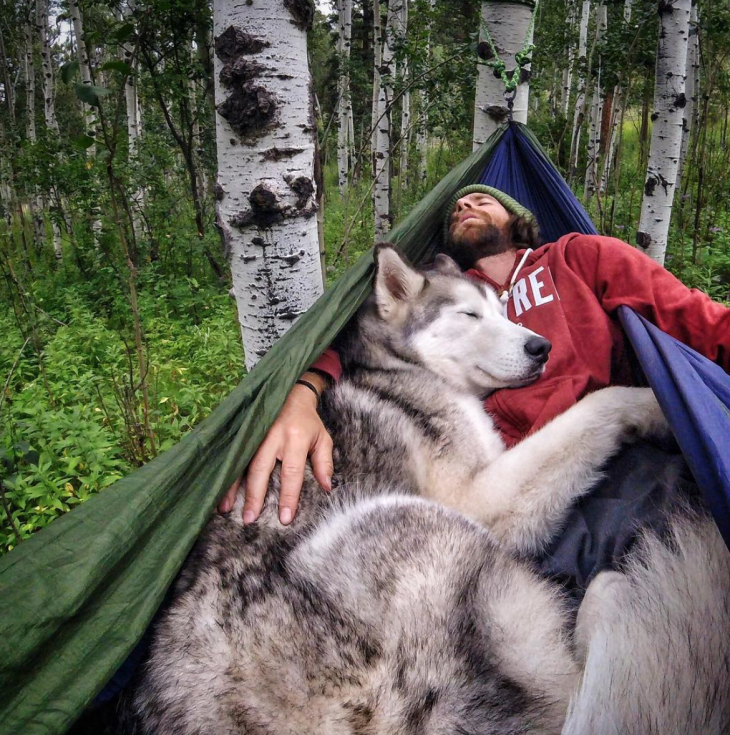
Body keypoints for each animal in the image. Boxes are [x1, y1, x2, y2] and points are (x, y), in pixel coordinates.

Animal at [126, 249, 728, 735]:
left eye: (504, 310)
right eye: (469, 315)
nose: (541, 346)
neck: (400, 369)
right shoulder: (479, 500)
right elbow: (595, 407)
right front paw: (654, 404)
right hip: (409, 522)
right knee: (572, 690)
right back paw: (621, 598)